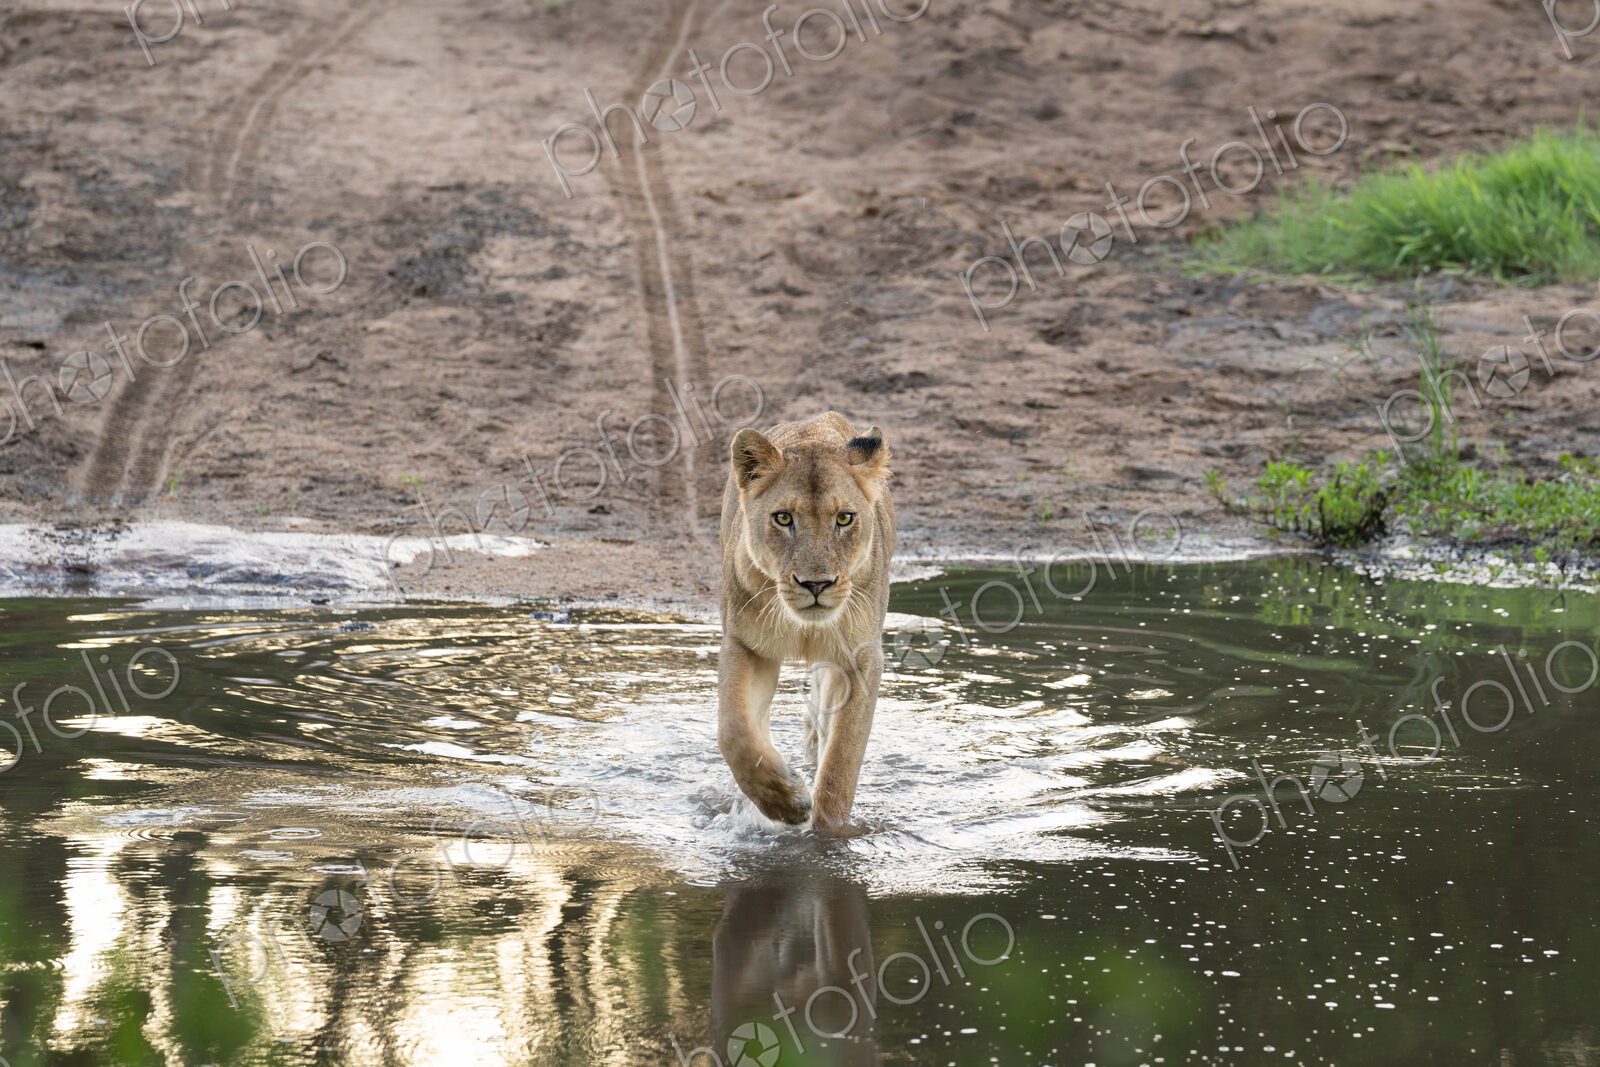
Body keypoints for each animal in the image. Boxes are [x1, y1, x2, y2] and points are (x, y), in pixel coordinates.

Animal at [717, 411, 895, 834]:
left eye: (844, 518)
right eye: (783, 518)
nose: (816, 584)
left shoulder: (861, 659)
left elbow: (841, 762)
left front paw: (828, 837)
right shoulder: (744, 645)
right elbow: (734, 731)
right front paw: (786, 802)